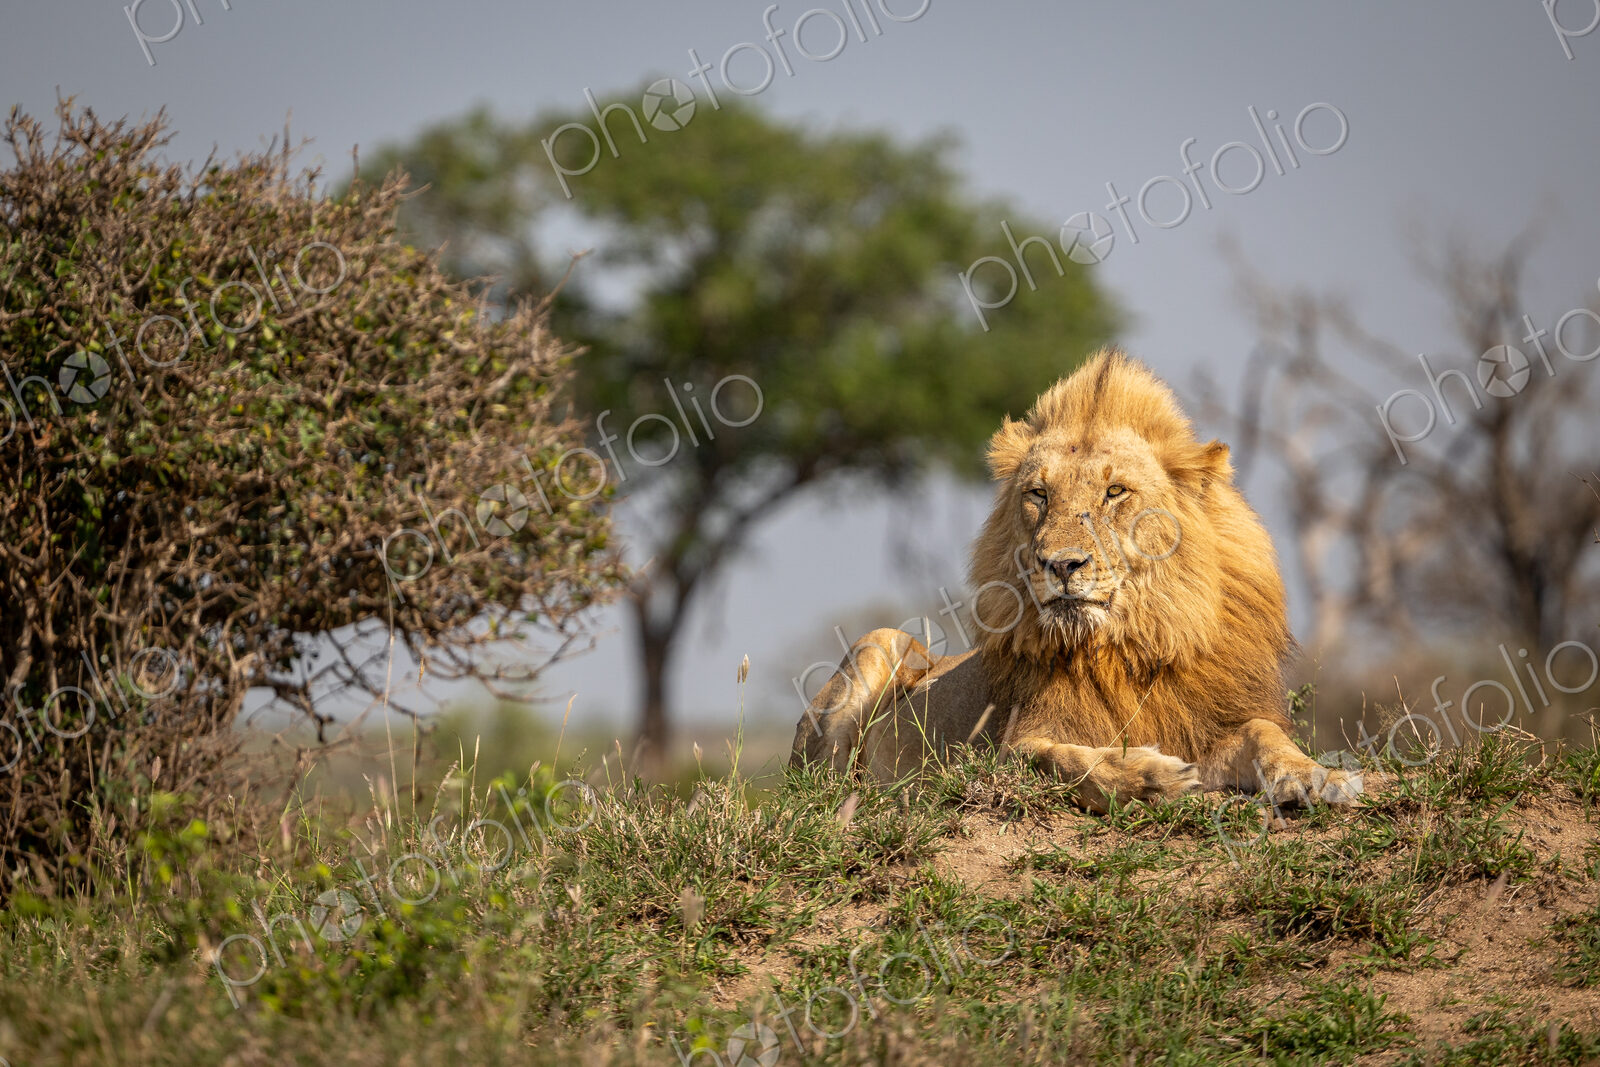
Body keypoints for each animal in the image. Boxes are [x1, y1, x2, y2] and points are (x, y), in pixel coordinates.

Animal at [790, 348, 1360, 811]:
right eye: (1039, 494)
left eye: (1115, 492)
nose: (1062, 565)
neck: (1129, 645)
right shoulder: (1011, 747)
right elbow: (1065, 761)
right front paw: (1152, 779)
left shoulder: (1212, 721)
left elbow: (1265, 736)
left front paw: (1317, 776)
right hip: (880, 646)